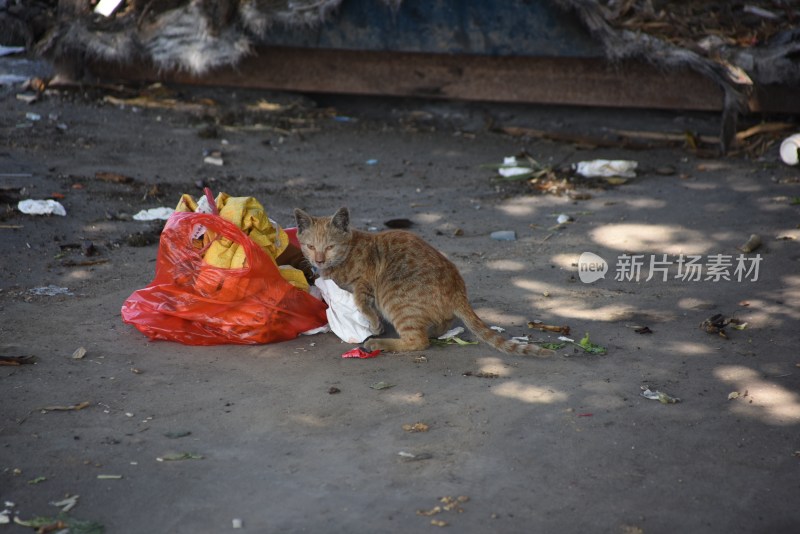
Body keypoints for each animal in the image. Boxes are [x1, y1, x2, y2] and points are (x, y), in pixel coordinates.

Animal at [296, 209, 556, 360]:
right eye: (310, 246)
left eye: (330, 246)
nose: (318, 260)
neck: (347, 253)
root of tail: (458, 289)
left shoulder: (365, 281)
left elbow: (362, 302)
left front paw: (374, 324)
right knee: (440, 324)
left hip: (394, 299)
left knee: (418, 341)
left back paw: (379, 342)